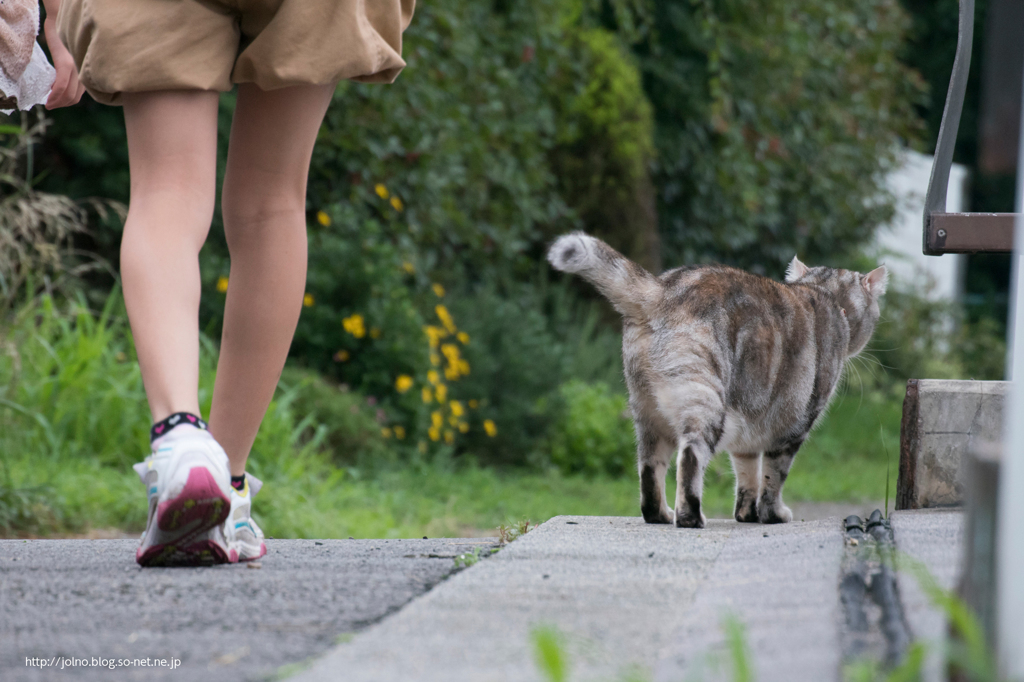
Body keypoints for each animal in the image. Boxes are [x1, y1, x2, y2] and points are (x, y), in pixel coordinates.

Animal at [544, 232, 888, 524]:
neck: (826, 296)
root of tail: (661, 289)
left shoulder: (750, 430)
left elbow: (748, 475)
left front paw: (747, 514)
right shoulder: (792, 428)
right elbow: (773, 477)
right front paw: (772, 514)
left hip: (648, 412)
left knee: (649, 470)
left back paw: (661, 515)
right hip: (705, 401)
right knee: (690, 458)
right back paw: (691, 517)